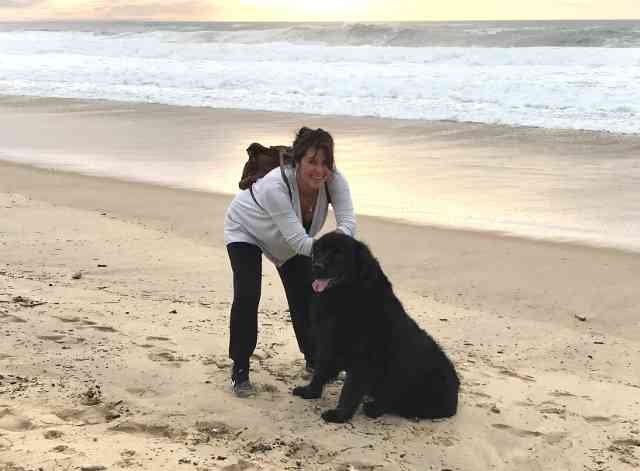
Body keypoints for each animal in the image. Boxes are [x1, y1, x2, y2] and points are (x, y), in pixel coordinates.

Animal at [292, 232, 458, 424]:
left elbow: (350, 389)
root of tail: (456, 394)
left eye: (338, 254)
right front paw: (310, 392)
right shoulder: (328, 344)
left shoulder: (363, 358)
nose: (316, 266)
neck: (346, 296)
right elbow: (320, 372)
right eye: (318, 251)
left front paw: (340, 415)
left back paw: (373, 407)